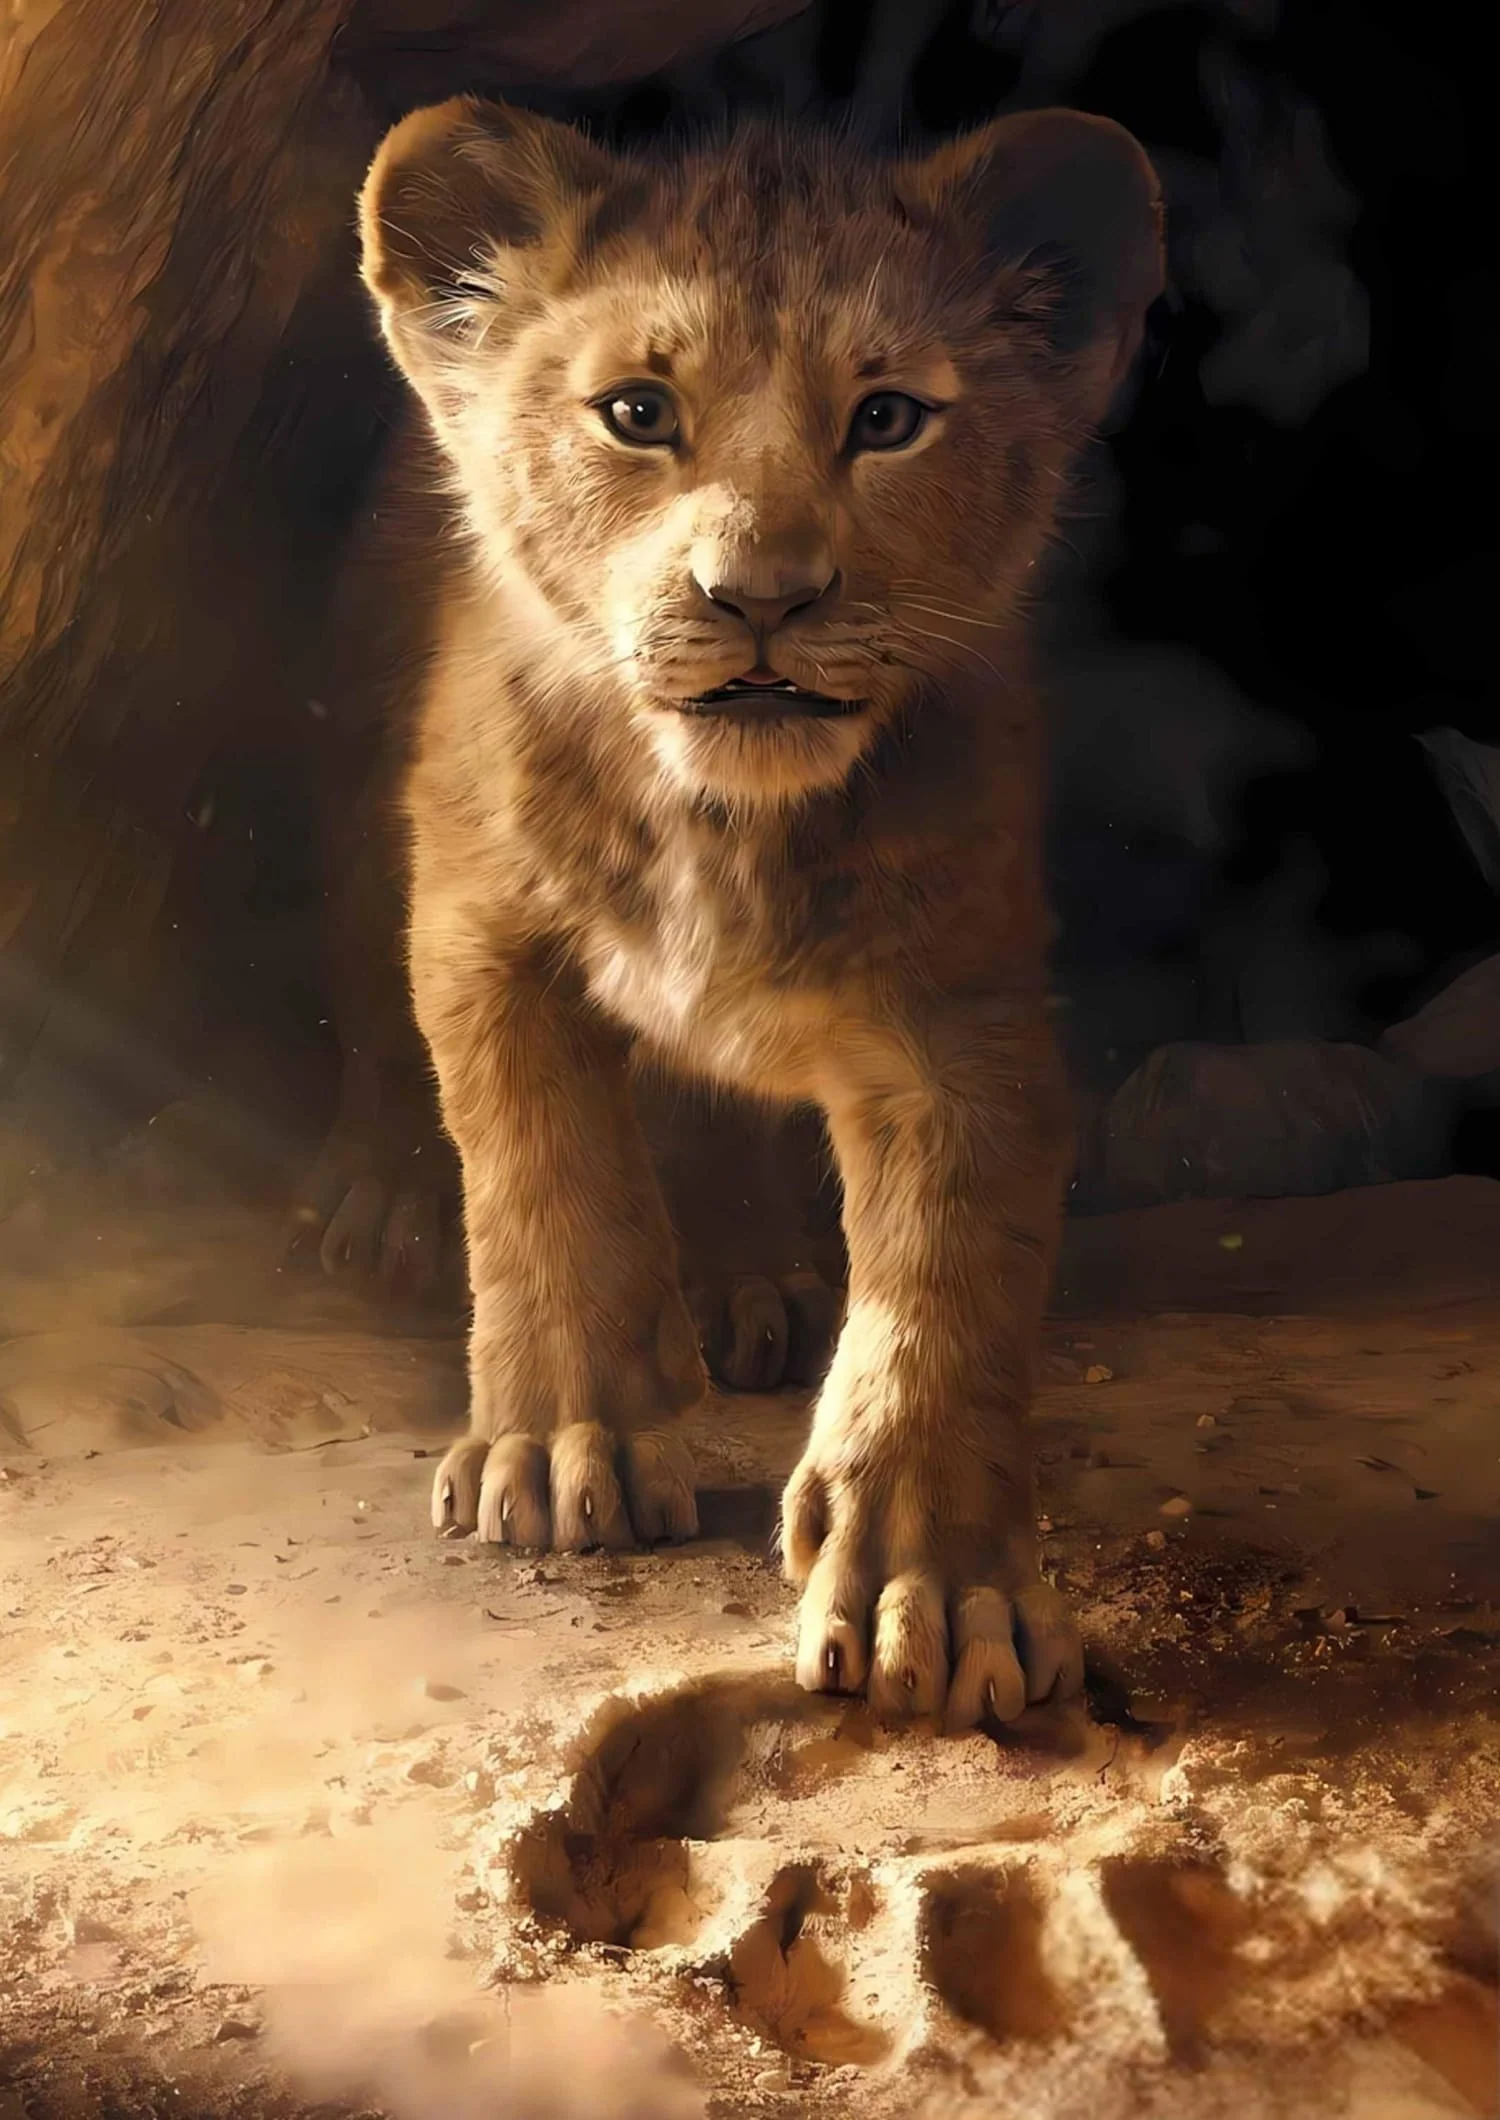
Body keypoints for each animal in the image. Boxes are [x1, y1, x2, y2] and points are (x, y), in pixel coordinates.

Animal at [351, 96, 1163, 1728]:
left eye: (889, 419)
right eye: (637, 411)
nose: (763, 596)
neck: (721, 822)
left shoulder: (962, 1012)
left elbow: (946, 1287)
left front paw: (939, 1590)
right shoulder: (479, 922)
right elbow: (543, 1176)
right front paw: (562, 1448)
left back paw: (749, 1284)